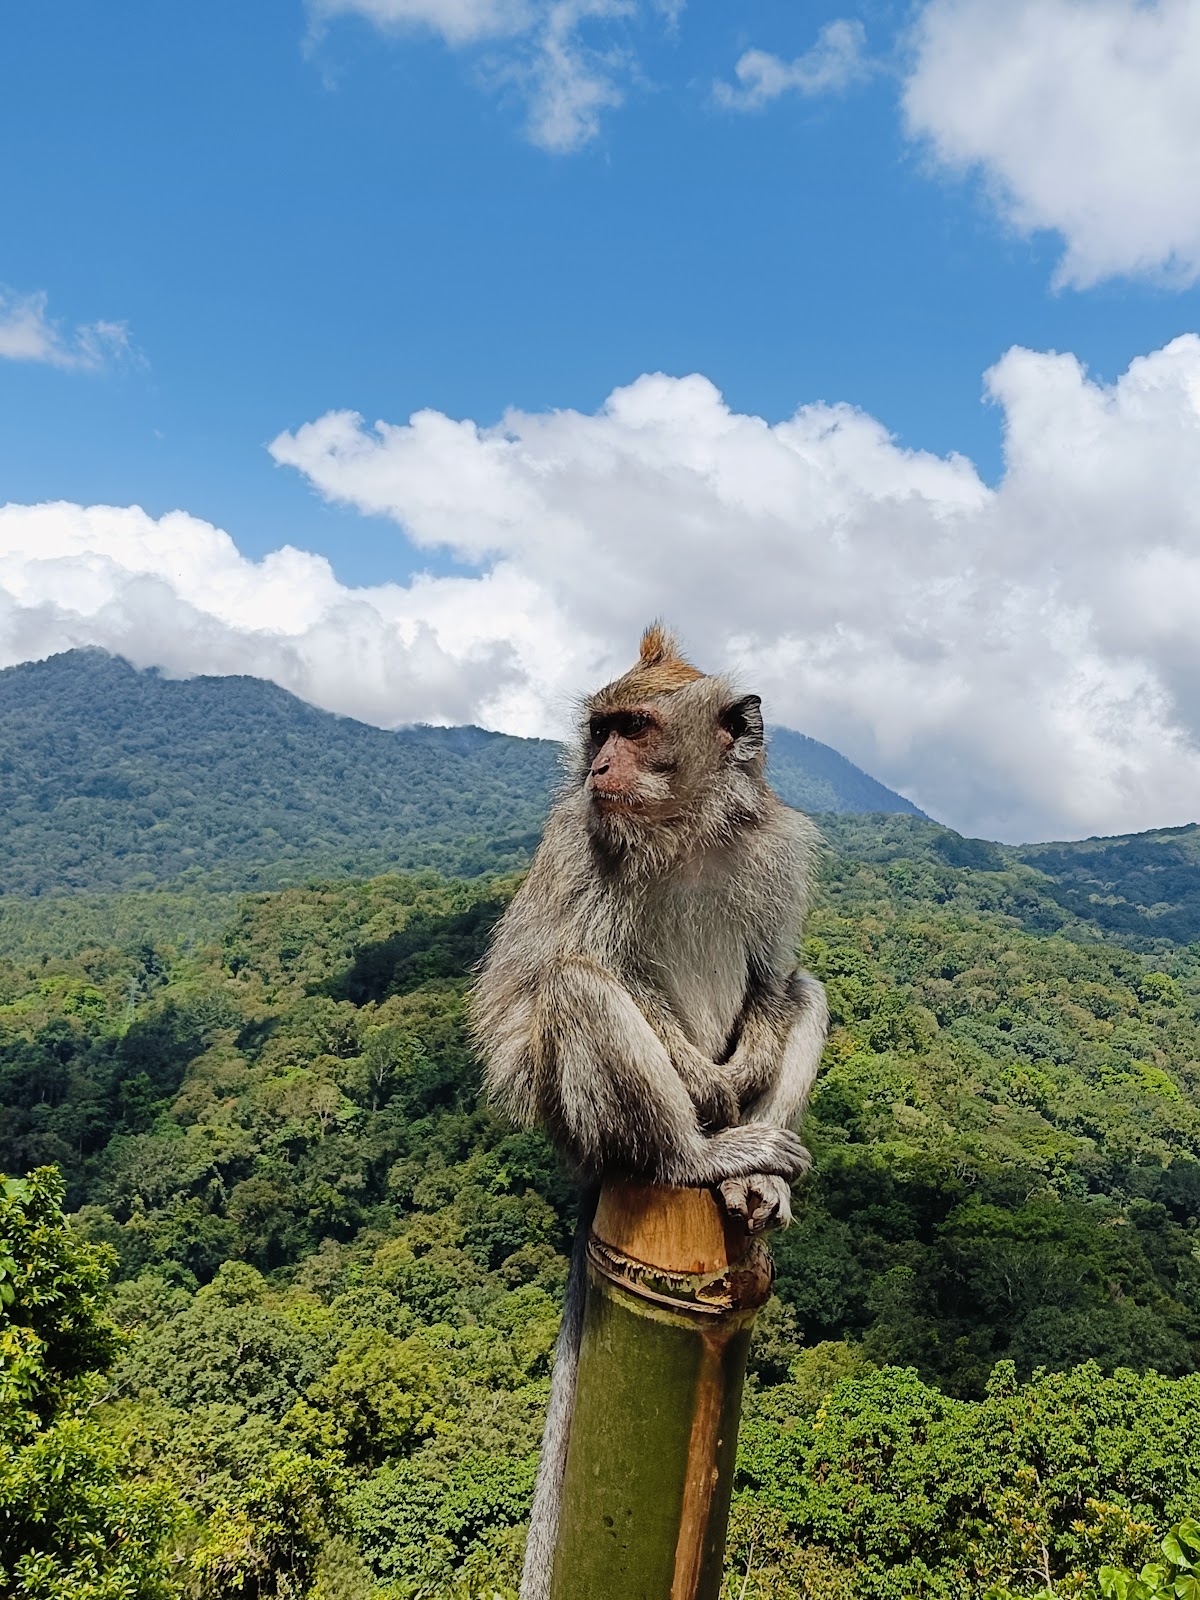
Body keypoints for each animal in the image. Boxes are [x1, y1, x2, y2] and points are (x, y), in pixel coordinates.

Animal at [467, 624, 825, 1600]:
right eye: (600, 731)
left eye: (634, 728)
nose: (598, 766)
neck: (687, 832)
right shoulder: (581, 846)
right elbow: (565, 978)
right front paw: (702, 1078)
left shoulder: (776, 849)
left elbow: (776, 977)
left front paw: (751, 1059)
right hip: (583, 1113)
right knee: (576, 987)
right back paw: (692, 1156)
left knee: (805, 991)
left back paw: (755, 1180)